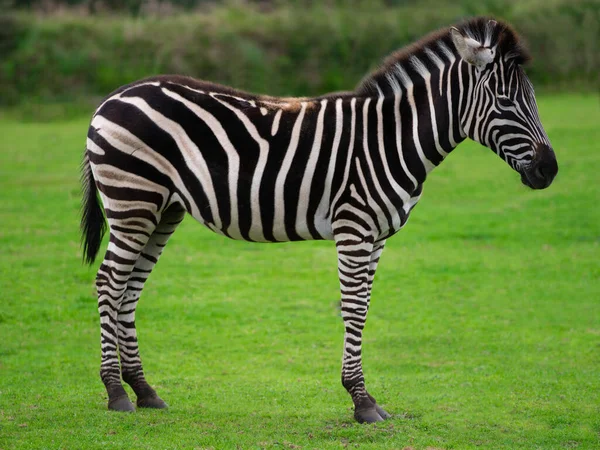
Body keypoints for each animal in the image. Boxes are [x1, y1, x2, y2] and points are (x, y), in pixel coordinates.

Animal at [79, 16, 556, 422]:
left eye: (533, 100)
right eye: (505, 101)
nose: (549, 171)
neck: (392, 139)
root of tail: (112, 97)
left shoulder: (378, 236)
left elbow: (364, 306)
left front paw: (367, 397)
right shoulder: (354, 227)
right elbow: (354, 307)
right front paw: (362, 401)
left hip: (162, 210)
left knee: (129, 290)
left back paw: (144, 391)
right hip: (132, 200)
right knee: (108, 283)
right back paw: (116, 393)